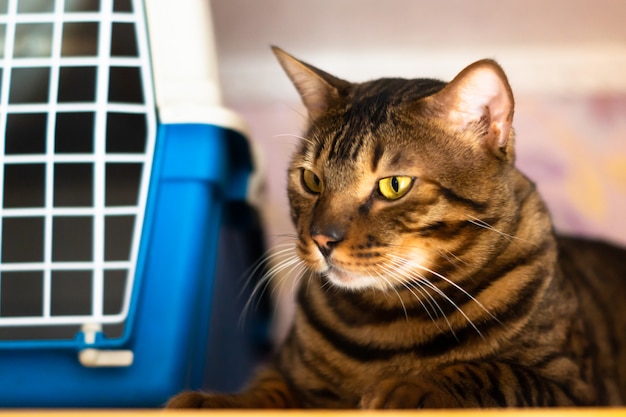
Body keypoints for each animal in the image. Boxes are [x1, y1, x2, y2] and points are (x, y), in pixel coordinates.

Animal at [167, 48, 624, 406]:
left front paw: (410, 388)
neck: (384, 318)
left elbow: (491, 371)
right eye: (311, 180)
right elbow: (269, 389)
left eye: (394, 185)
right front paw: (212, 401)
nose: (322, 238)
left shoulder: (573, 387)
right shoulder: (290, 374)